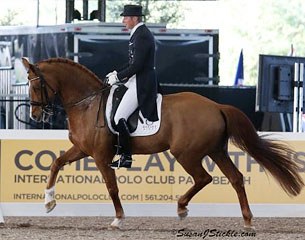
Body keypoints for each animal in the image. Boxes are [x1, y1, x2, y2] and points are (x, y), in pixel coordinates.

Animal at [22, 57, 302, 229]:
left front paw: (118, 219)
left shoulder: (100, 156)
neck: (87, 103)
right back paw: (247, 220)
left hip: (186, 153)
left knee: (204, 178)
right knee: (235, 178)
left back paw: (181, 208)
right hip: (216, 151)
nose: (35, 115)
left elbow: (112, 187)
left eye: (35, 85)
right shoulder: (82, 149)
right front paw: (48, 203)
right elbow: (56, 163)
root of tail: (216, 106)